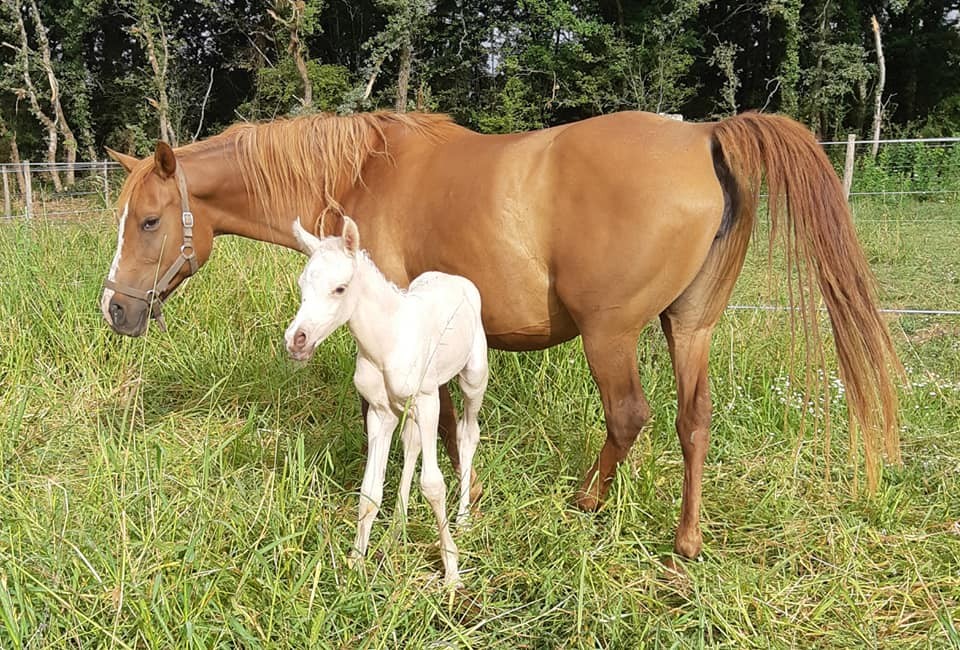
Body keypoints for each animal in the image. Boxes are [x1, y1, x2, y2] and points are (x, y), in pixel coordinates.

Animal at [282, 215, 484, 584]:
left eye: (340, 288)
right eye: (302, 284)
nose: (296, 340)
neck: (388, 340)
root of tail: (455, 279)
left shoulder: (429, 401)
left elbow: (433, 484)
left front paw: (451, 571)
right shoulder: (379, 412)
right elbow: (369, 490)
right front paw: (356, 564)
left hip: (473, 377)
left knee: (467, 434)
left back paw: (463, 519)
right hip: (405, 409)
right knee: (412, 444)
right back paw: (396, 530)